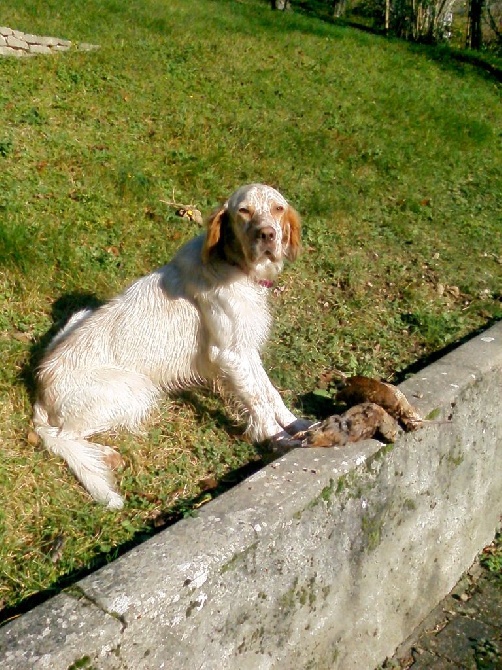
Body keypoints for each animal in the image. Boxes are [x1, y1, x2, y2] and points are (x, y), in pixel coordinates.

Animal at [33, 184, 308, 510]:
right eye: (244, 210)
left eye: (278, 208)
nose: (267, 235)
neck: (233, 265)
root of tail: (42, 384)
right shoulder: (228, 354)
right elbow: (259, 403)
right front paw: (278, 439)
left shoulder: (244, 348)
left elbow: (270, 393)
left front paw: (296, 424)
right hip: (134, 387)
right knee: (59, 435)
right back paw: (105, 455)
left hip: (80, 316)